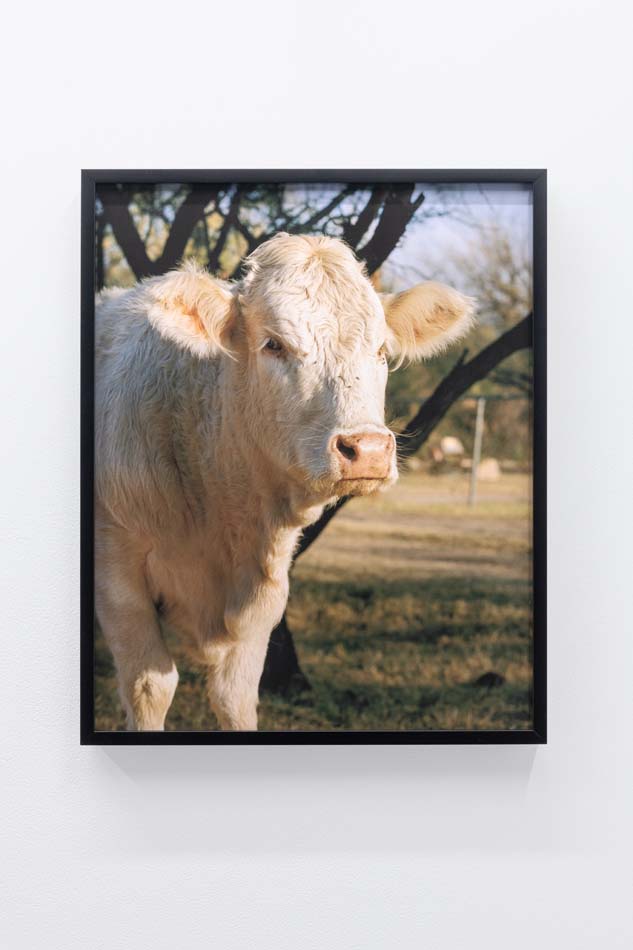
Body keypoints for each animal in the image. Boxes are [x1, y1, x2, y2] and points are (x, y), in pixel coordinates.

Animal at [95, 233, 474, 731]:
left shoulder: (265, 599)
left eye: (381, 351)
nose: (368, 449)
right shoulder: (117, 575)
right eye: (274, 344)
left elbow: (236, 697)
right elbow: (149, 688)